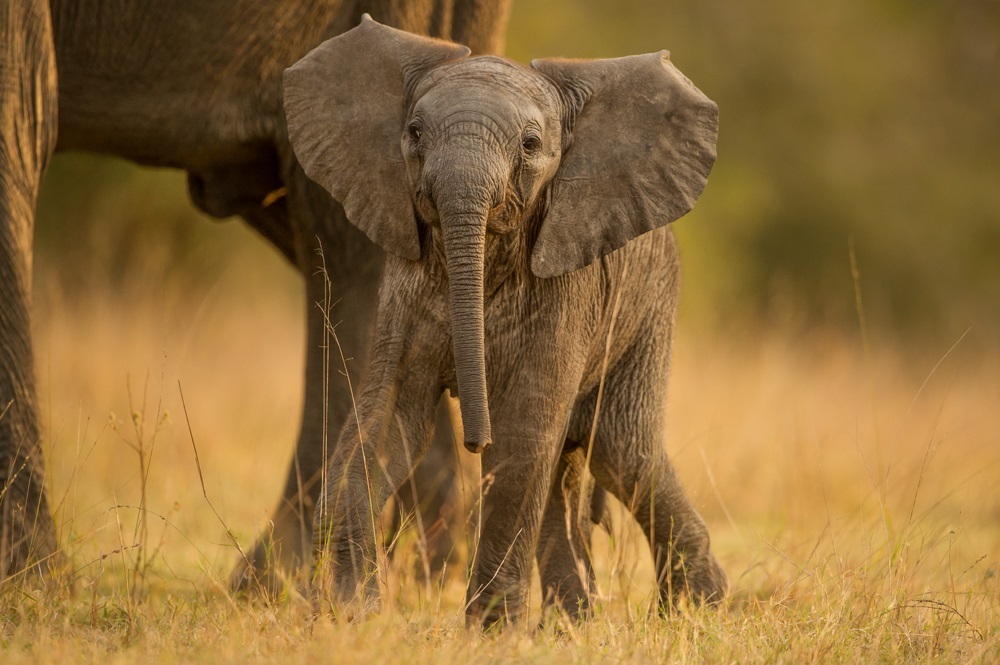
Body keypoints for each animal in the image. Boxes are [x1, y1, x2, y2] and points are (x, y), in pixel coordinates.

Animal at [284, 16, 728, 628]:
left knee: (622, 450)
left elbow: (520, 438)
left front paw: (490, 633)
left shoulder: (568, 291)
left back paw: (698, 612)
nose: (474, 438)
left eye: (531, 144)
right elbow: (386, 420)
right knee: (577, 470)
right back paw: (575, 627)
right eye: (414, 133)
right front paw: (354, 616)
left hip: (651, 303)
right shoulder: (408, 280)